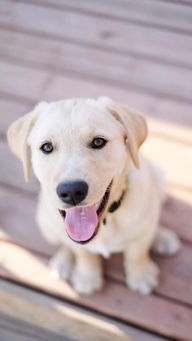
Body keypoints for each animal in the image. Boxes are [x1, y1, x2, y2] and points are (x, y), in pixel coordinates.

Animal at [7, 97, 180, 294]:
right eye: (47, 147)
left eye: (98, 142)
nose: (72, 191)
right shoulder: (74, 240)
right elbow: (82, 253)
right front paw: (87, 276)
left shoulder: (140, 235)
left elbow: (137, 252)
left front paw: (140, 275)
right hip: (44, 224)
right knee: (64, 243)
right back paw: (63, 262)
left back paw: (162, 237)